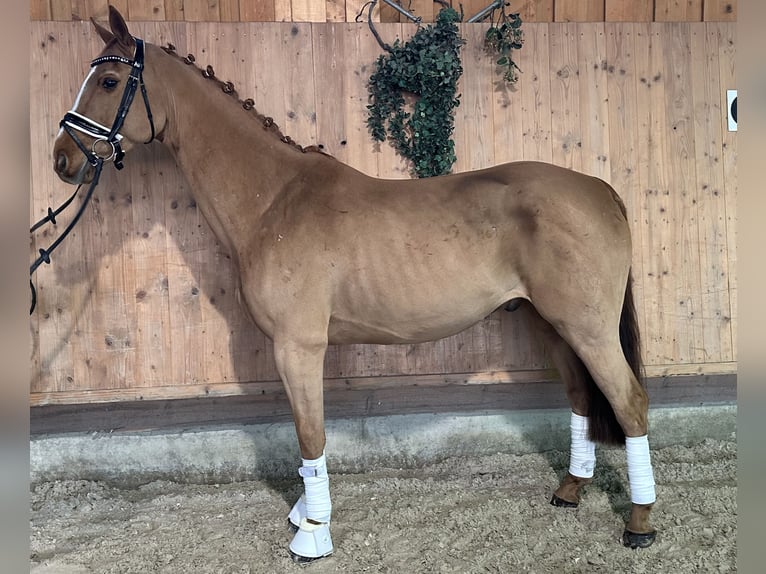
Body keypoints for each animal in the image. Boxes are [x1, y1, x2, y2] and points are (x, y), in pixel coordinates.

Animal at [49, 4, 660, 564]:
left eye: (108, 81)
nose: (61, 158)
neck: (274, 200)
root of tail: (598, 188)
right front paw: (303, 513)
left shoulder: (297, 347)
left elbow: (310, 434)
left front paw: (312, 531)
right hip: (552, 325)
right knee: (581, 398)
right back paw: (570, 491)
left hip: (588, 328)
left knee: (629, 402)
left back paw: (639, 522)